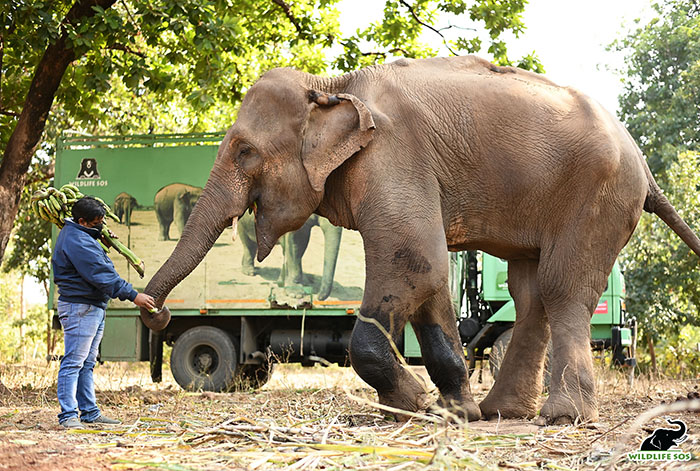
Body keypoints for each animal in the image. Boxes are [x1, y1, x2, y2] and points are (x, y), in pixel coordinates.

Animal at [139, 55, 700, 424]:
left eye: (244, 151)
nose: (153, 308)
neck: (333, 84)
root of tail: (642, 160)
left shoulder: (393, 155)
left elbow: (416, 264)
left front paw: (419, 406)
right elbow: (426, 275)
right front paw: (452, 410)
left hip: (596, 196)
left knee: (562, 288)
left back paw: (562, 417)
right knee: (531, 291)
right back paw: (502, 412)